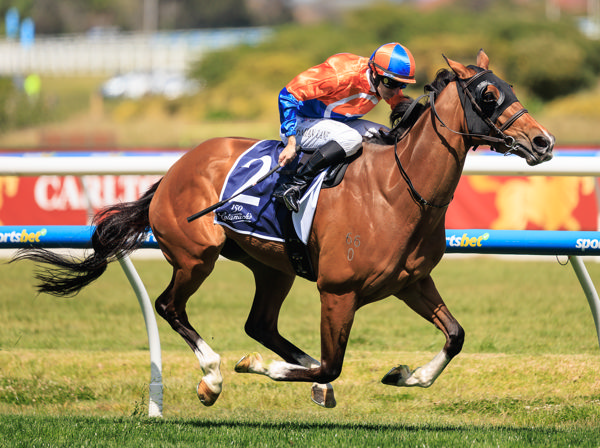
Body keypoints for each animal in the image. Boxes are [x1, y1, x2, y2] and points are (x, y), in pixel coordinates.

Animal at [12, 50, 552, 410]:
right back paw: (213, 377)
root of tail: (173, 170)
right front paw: (259, 367)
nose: (542, 142)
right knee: (170, 306)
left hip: (275, 268)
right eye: (488, 94)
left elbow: (455, 335)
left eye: (510, 87)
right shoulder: (338, 291)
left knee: (260, 324)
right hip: (195, 257)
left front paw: (405, 375)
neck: (397, 190)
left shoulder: (412, 281)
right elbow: (334, 361)